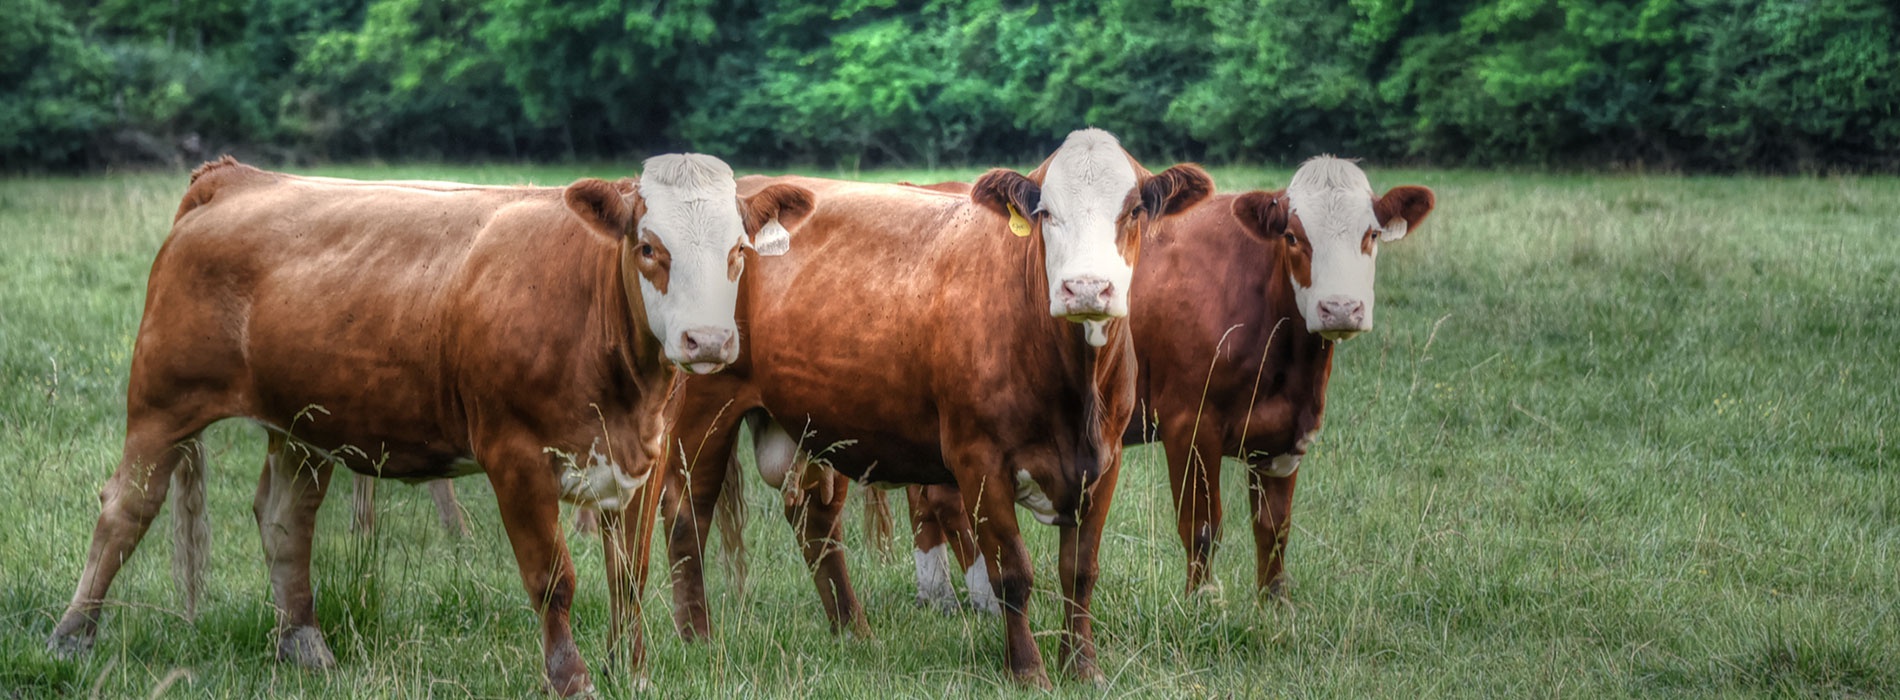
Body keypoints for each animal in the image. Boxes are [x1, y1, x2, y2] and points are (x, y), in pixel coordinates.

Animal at [48, 154, 813, 696]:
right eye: (650, 247)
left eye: (738, 252)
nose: (707, 340)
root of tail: (236, 177)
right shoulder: (514, 456)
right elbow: (555, 579)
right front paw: (572, 680)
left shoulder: (643, 461)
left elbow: (630, 577)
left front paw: (635, 672)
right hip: (162, 401)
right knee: (124, 509)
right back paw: (72, 635)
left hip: (303, 425)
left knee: (285, 518)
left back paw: (304, 643)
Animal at [653, 128, 1208, 684]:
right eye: (1046, 212)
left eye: (1134, 210)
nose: (1087, 288)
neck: (1074, 392)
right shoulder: (978, 460)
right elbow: (1012, 573)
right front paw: (1028, 669)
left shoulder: (1103, 462)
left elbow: (1080, 572)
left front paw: (1082, 668)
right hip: (705, 405)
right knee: (686, 514)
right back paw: (696, 634)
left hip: (816, 422)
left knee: (816, 521)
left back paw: (853, 630)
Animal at [881, 156, 1428, 608]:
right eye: (1293, 236)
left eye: (1371, 235)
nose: (1340, 307)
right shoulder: (1191, 423)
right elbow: (1202, 525)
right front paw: (1202, 602)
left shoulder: (1286, 434)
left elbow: (1274, 527)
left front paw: (1276, 605)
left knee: (930, 498)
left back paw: (940, 594)